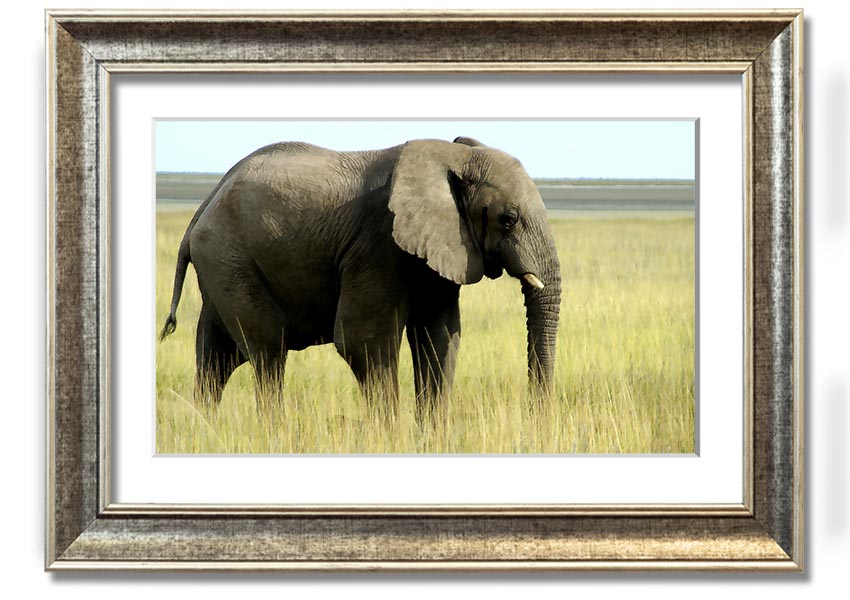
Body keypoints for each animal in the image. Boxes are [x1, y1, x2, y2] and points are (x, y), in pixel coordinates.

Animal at [159, 136, 561, 418]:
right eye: (508, 219)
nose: (535, 420)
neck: (450, 155)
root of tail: (200, 211)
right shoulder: (378, 243)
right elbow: (364, 342)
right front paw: (392, 438)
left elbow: (440, 336)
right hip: (231, 260)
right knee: (268, 350)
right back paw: (271, 431)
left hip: (222, 267)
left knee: (217, 356)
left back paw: (206, 428)